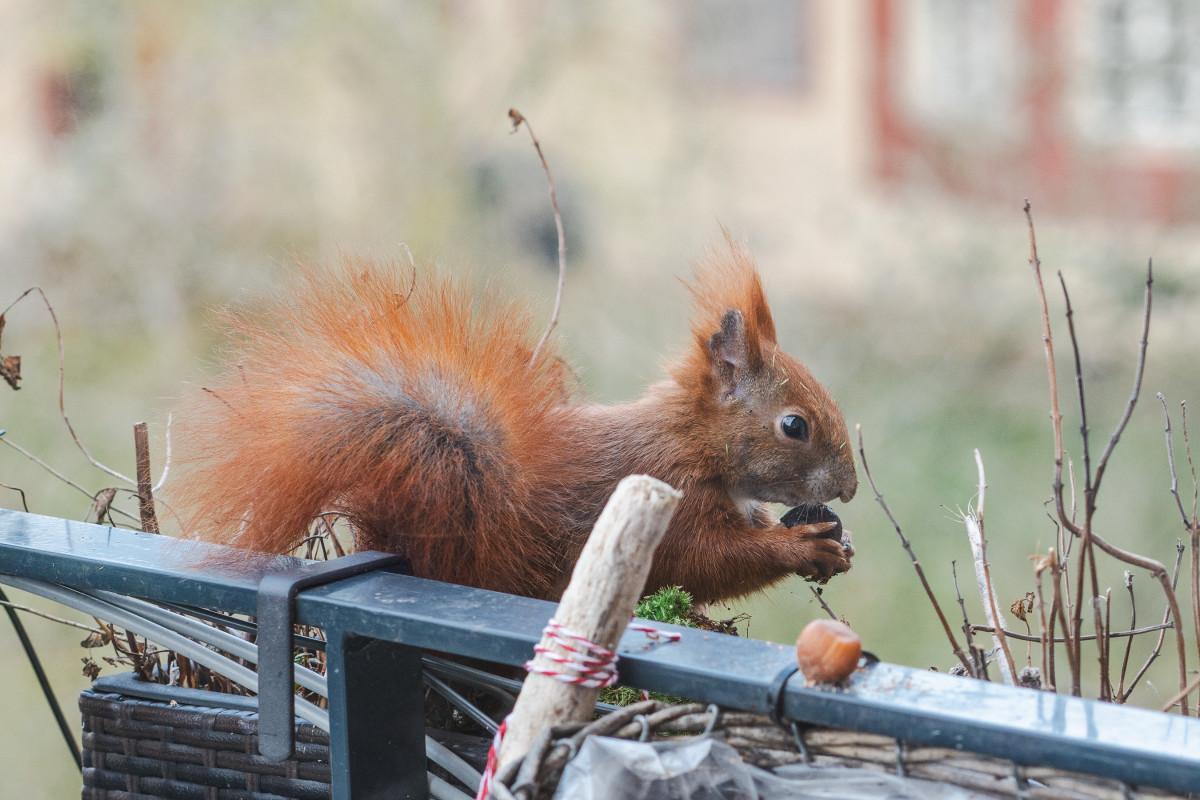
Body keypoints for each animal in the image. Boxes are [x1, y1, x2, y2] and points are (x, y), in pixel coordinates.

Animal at [174, 241, 859, 604]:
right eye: (794, 426)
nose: (850, 488)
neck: (694, 443)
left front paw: (835, 543)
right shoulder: (664, 494)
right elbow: (707, 561)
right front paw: (801, 545)